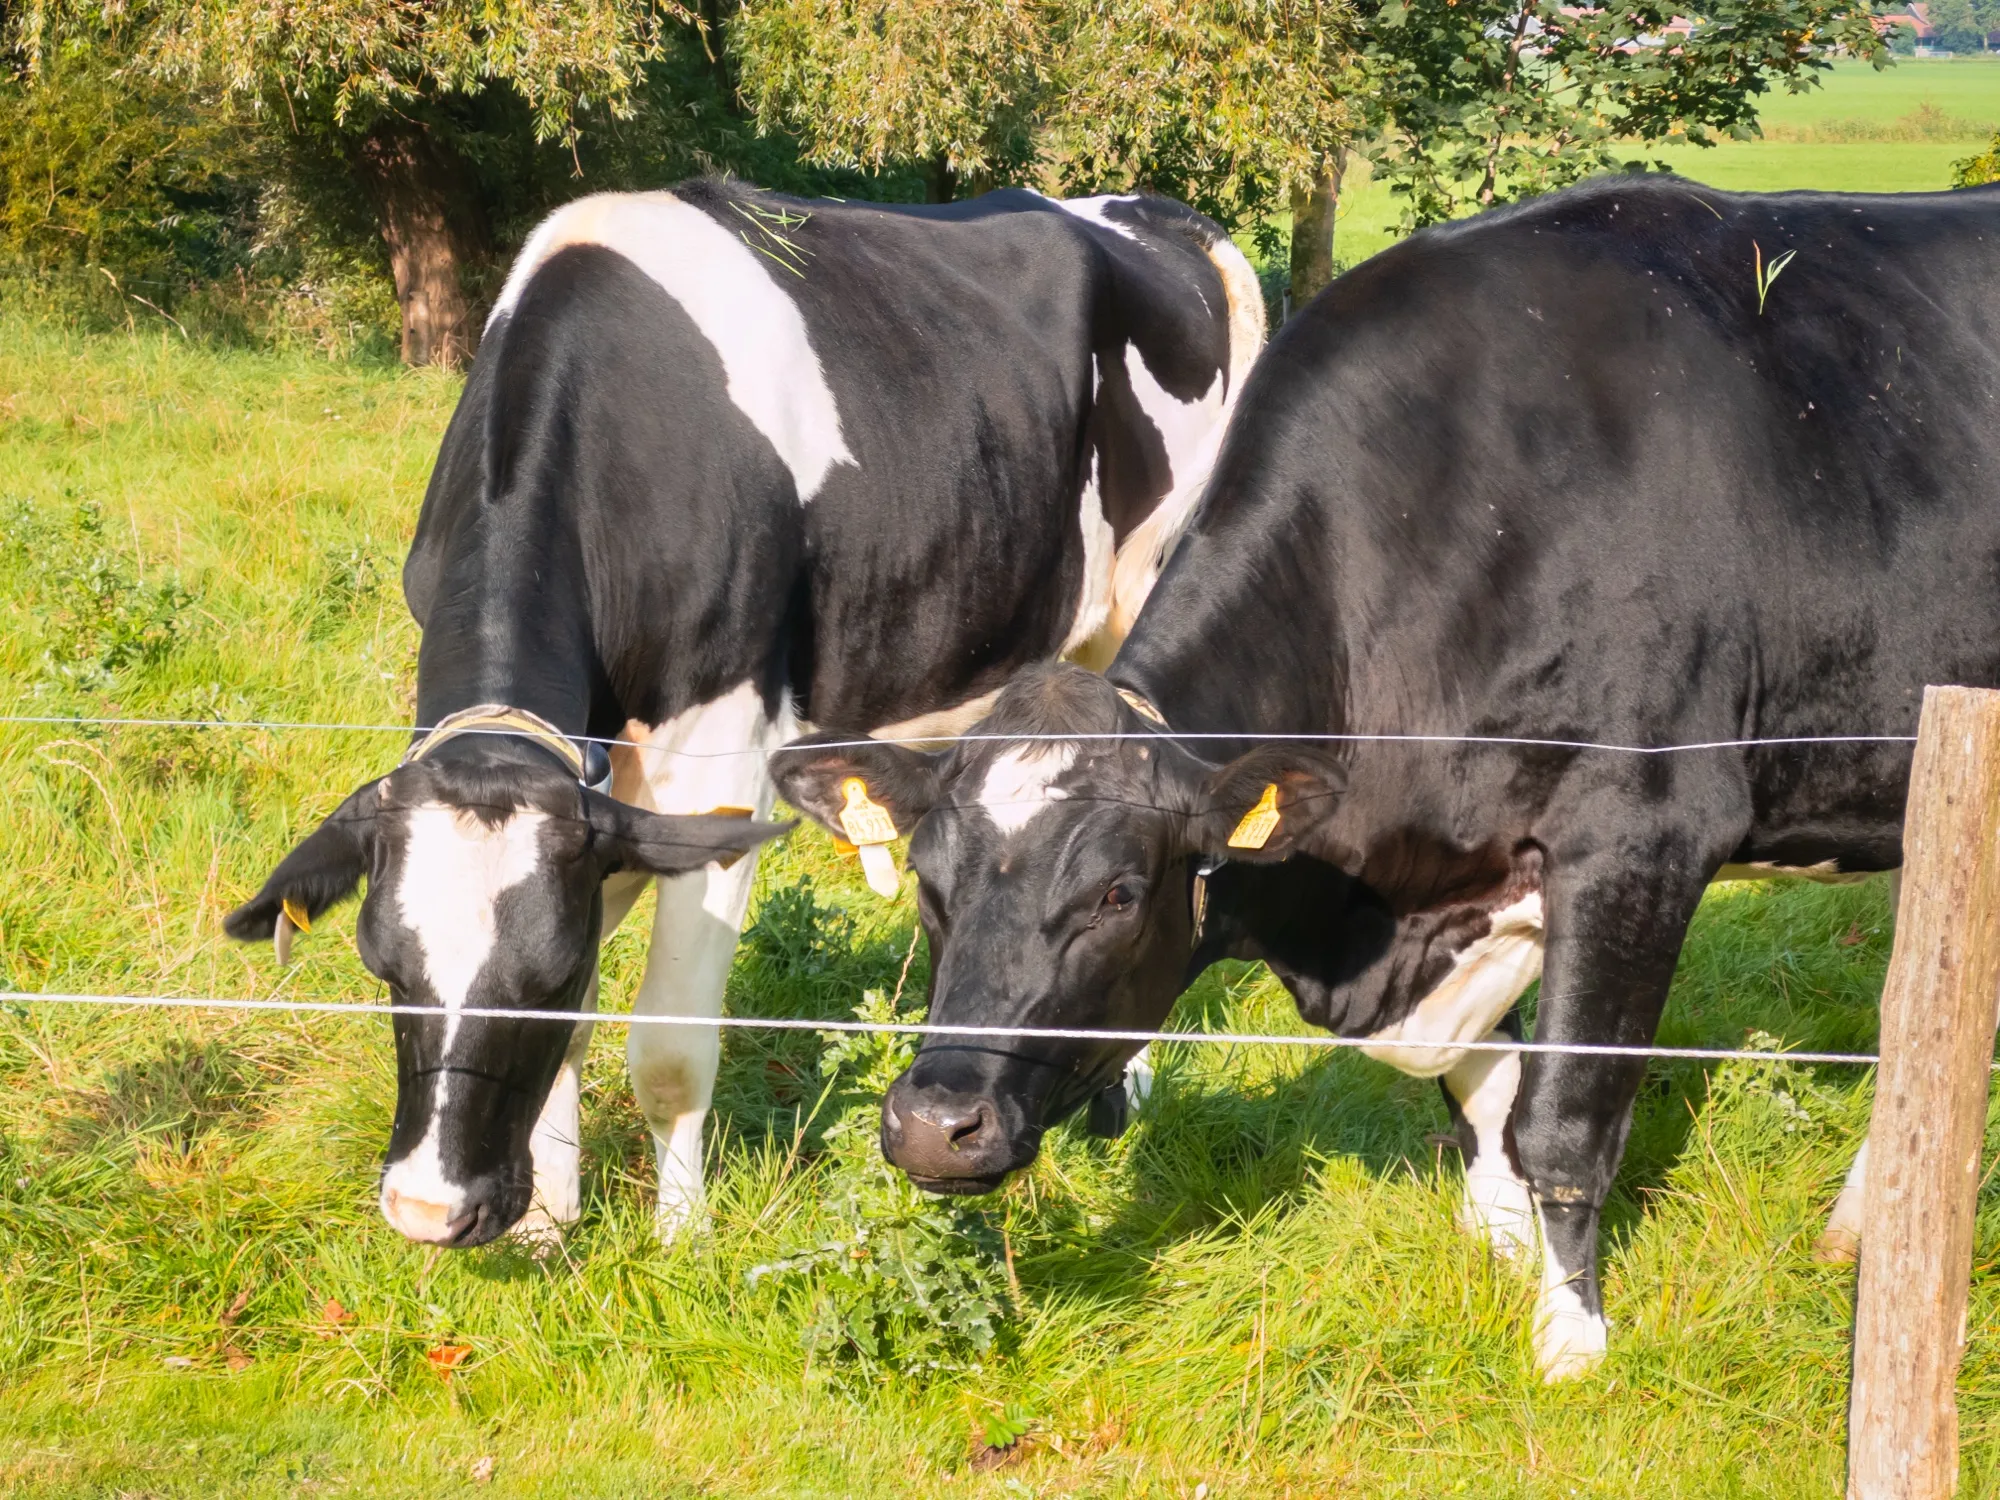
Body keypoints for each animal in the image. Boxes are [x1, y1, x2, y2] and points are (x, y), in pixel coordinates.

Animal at [222, 179, 1265, 1249]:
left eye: (539, 978)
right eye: (384, 965)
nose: (431, 1210)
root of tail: (1159, 212)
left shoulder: (719, 755)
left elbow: (667, 1043)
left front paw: (683, 1239)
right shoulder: (607, 798)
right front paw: (550, 1223)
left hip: (1151, 587)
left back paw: (1126, 1089)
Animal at [769, 178, 2000, 1380]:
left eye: (1117, 893)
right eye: (929, 884)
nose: (934, 1124)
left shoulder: (1642, 833)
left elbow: (1564, 1114)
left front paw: (1569, 1339)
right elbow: (1487, 1095)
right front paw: (1500, 1253)